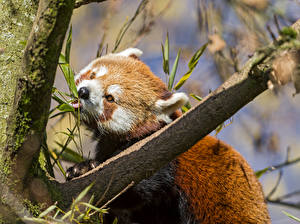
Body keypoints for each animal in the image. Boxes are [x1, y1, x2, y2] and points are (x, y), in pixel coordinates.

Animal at [67, 48, 270, 224]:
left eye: (110, 98)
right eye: (93, 75)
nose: (83, 92)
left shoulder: (158, 155)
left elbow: (133, 191)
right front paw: (82, 168)